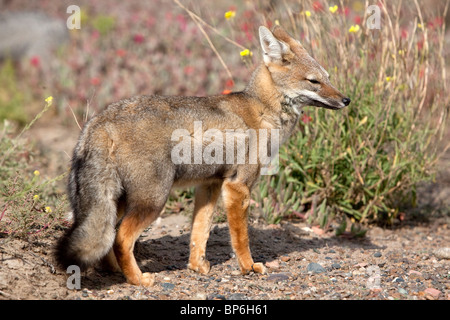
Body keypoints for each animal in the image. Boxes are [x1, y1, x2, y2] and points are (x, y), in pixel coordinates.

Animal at [55, 24, 352, 284]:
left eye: (328, 78)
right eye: (314, 81)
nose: (346, 99)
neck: (261, 109)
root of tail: (100, 121)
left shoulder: (209, 185)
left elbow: (200, 231)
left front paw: (197, 266)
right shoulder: (237, 187)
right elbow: (241, 238)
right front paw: (248, 267)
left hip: (118, 201)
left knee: (108, 241)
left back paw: (118, 272)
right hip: (152, 201)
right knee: (120, 239)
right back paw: (138, 280)